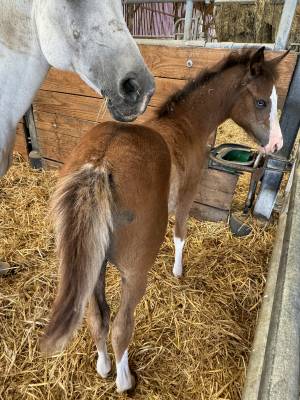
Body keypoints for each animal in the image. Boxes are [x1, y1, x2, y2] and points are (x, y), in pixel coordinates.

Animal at [42, 47, 288, 394]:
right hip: (133, 272)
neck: (186, 125)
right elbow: (181, 234)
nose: (277, 144)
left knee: (97, 318)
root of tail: (100, 164)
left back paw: (103, 368)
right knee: (121, 328)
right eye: (262, 102)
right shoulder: (188, 195)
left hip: (91, 265)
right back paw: (124, 381)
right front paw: (178, 272)